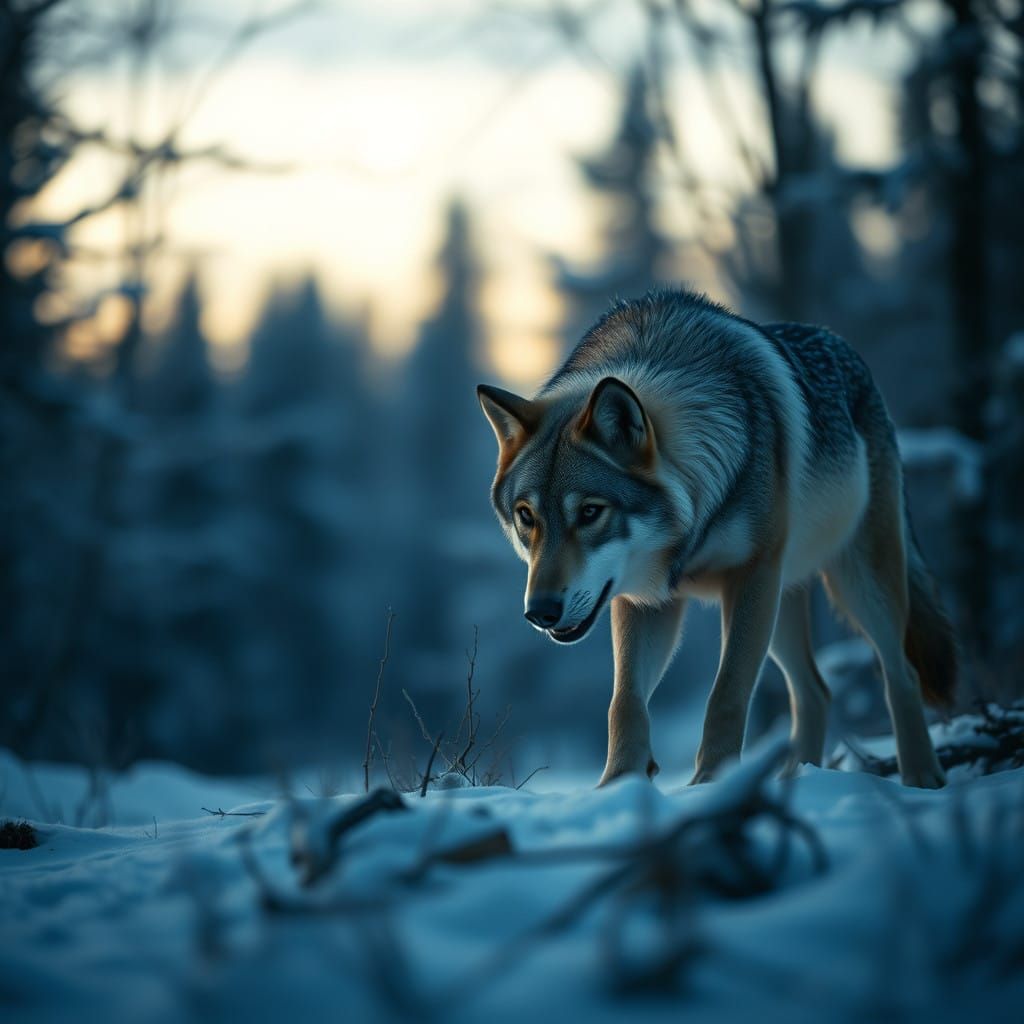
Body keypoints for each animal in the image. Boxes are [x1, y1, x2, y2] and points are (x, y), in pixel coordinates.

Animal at [478, 289, 955, 788]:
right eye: (527, 516)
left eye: (590, 512)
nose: (539, 612)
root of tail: (848, 349)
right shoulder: (644, 600)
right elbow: (624, 703)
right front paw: (617, 788)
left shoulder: (750, 578)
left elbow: (726, 695)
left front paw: (709, 784)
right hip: (782, 607)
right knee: (815, 691)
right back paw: (794, 780)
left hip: (854, 583)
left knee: (900, 672)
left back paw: (922, 779)